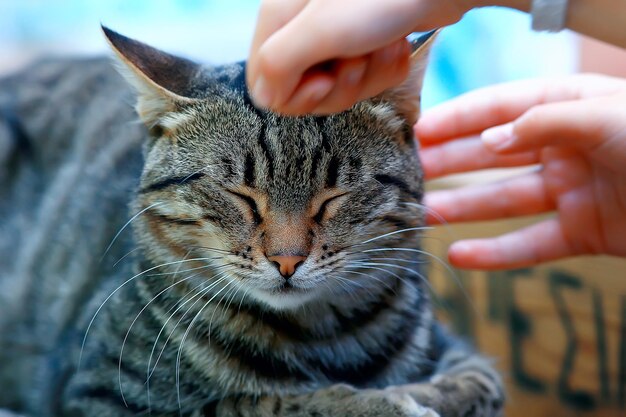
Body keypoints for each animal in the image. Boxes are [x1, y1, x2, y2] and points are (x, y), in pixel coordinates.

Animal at [0, 26, 500, 416]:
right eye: (240, 195)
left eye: (333, 196)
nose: (287, 260)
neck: (319, 334)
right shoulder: (102, 392)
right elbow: (262, 403)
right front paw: (381, 403)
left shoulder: (459, 353)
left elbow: (481, 382)